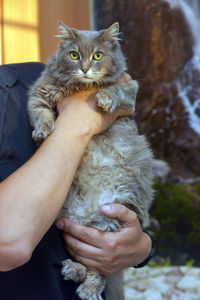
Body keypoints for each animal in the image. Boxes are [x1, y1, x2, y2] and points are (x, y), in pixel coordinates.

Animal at [27, 21, 154, 300]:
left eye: (98, 55)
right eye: (74, 55)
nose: (85, 68)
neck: (81, 87)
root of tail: (87, 215)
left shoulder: (130, 88)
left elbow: (115, 89)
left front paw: (104, 98)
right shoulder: (39, 93)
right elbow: (41, 115)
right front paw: (42, 132)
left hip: (113, 221)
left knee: (100, 271)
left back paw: (87, 288)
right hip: (74, 224)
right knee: (88, 264)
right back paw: (74, 270)